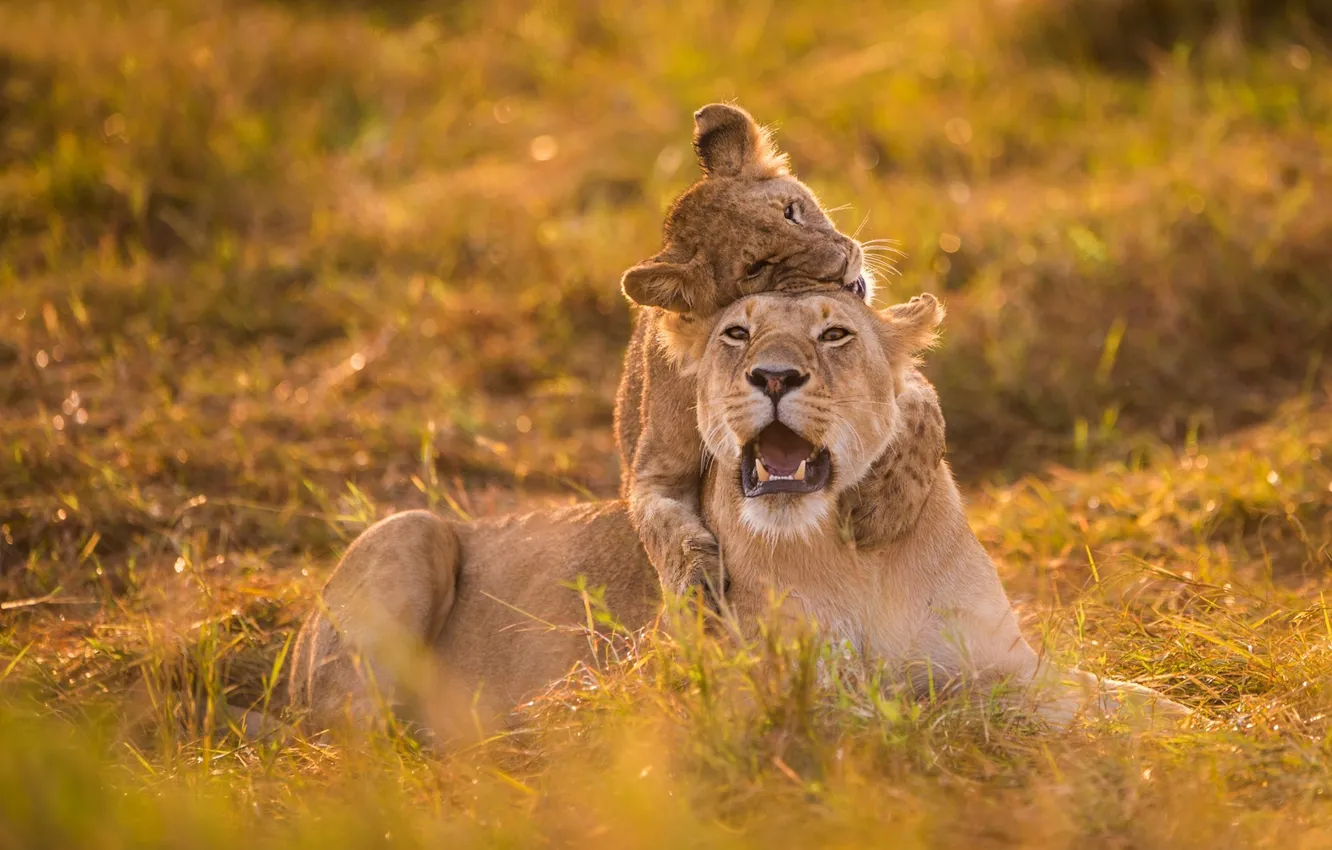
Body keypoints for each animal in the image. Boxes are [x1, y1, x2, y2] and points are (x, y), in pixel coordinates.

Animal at [287, 289, 1188, 735]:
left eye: (834, 334)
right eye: (736, 333)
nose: (775, 377)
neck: (859, 556)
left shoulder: (1008, 655)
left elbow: (1109, 693)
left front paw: (1188, 718)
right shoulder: (793, 689)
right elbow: (953, 703)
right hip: (409, 531)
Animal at [614, 103, 946, 610]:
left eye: (791, 211)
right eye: (757, 267)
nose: (840, 265)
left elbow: (921, 408)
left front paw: (884, 507)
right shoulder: (653, 470)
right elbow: (663, 527)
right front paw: (696, 586)